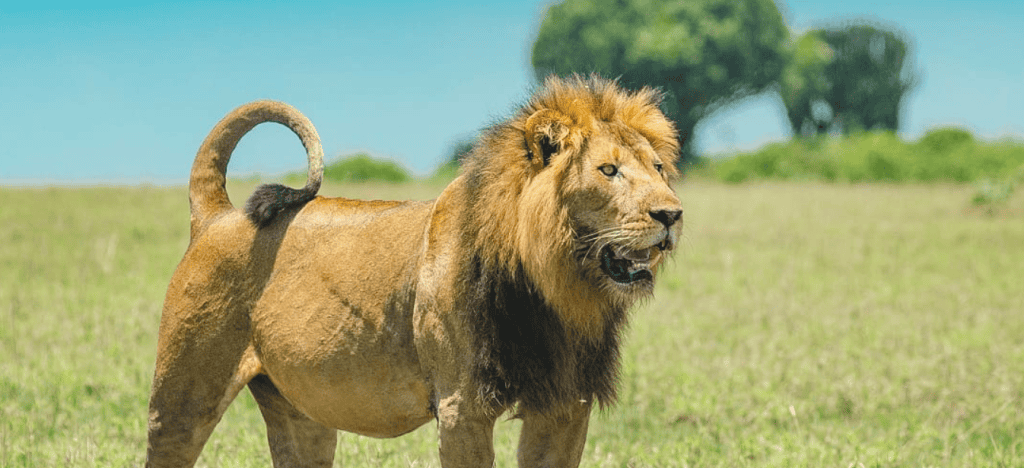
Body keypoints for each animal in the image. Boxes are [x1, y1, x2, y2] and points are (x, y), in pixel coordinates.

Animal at [146, 75, 683, 467]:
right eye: (608, 171)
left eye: (658, 169)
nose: (672, 214)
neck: (555, 290)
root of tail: (219, 215)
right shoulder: (462, 407)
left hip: (300, 411)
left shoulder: (565, 405)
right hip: (183, 394)